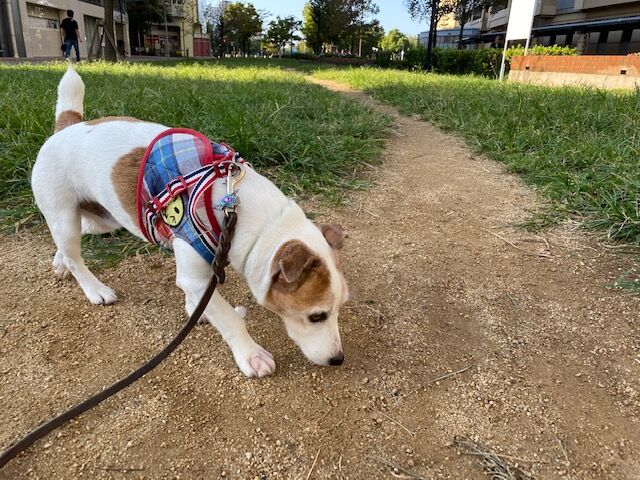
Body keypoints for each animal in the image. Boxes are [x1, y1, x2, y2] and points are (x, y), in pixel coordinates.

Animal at [31, 66, 349, 378]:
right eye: (317, 316)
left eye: (341, 307)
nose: (338, 359)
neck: (233, 206)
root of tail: (67, 127)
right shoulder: (195, 271)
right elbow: (229, 318)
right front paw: (251, 355)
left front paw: (197, 309)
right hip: (63, 215)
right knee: (75, 256)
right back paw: (94, 289)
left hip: (105, 217)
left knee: (76, 239)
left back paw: (60, 263)